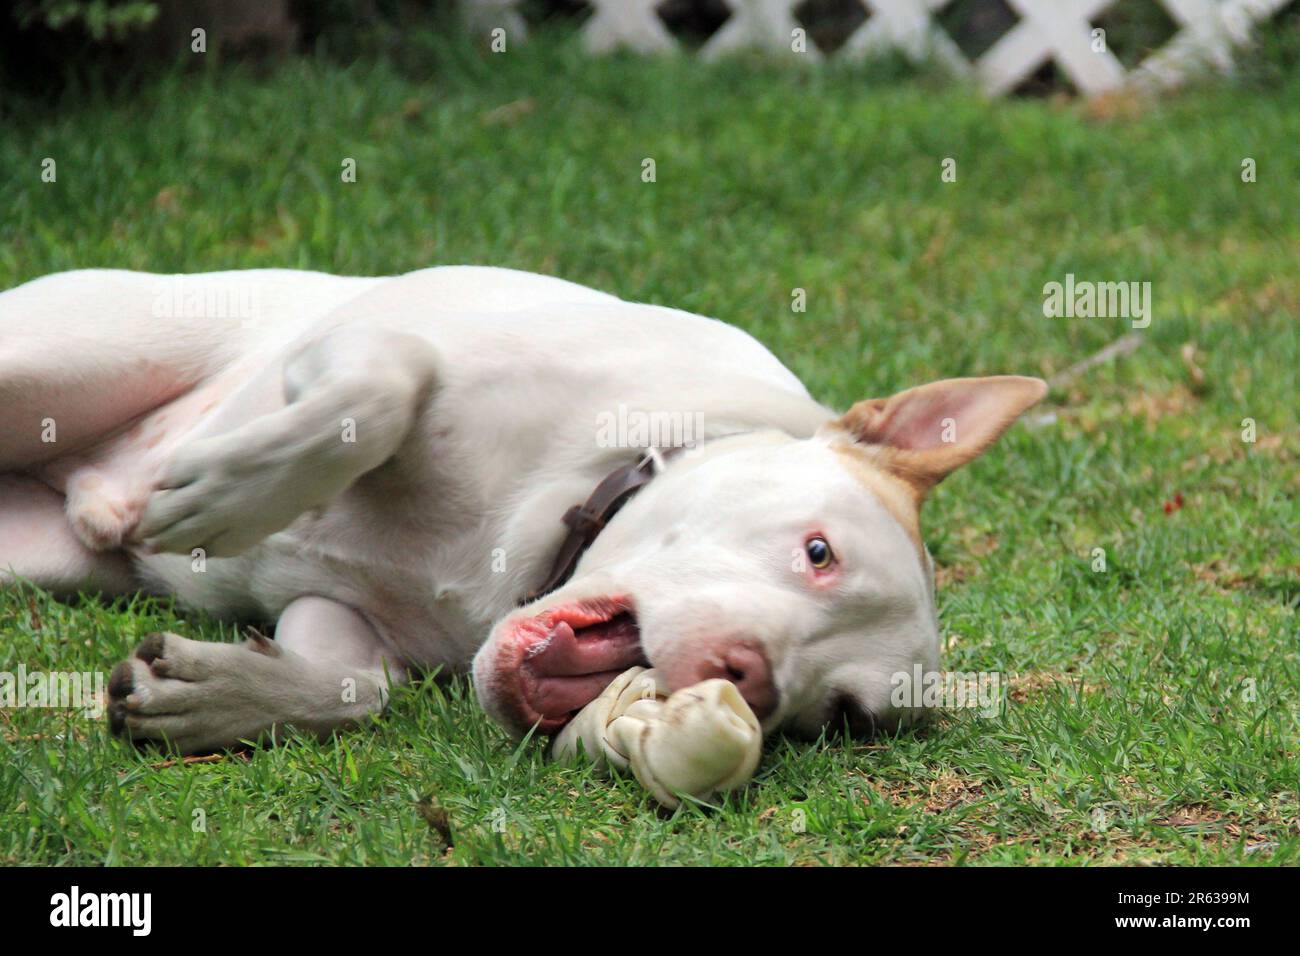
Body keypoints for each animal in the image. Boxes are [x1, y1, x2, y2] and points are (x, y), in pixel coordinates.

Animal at [0, 265, 1050, 749]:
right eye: (820, 552)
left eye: (841, 717)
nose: (748, 679)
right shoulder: (369, 342)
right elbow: (387, 384)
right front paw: (230, 493)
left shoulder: (331, 612)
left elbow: (351, 686)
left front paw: (221, 695)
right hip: (68, 352)